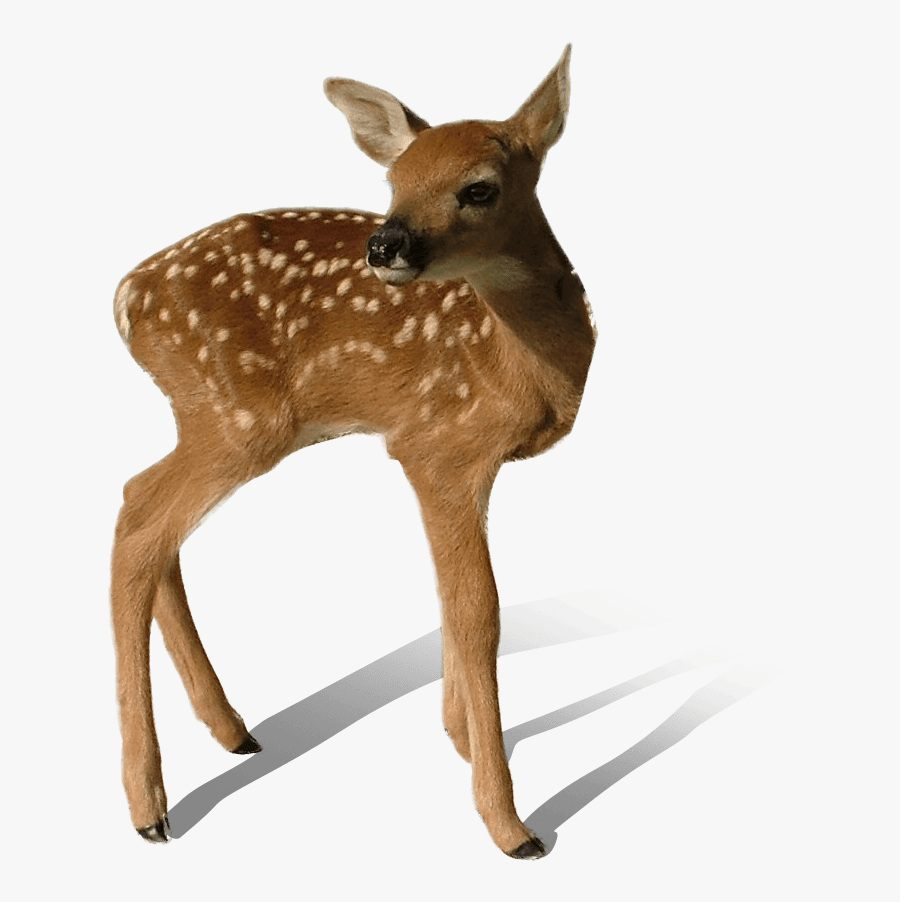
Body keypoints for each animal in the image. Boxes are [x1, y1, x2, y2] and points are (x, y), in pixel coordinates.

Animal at [111, 44, 595, 860]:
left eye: (478, 188)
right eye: (393, 185)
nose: (386, 243)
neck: (519, 358)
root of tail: (125, 298)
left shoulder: (452, 460)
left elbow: (451, 597)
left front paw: (457, 738)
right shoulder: (437, 446)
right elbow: (479, 611)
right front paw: (509, 825)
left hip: (207, 417)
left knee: (143, 509)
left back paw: (232, 732)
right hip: (239, 418)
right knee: (139, 522)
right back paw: (150, 808)